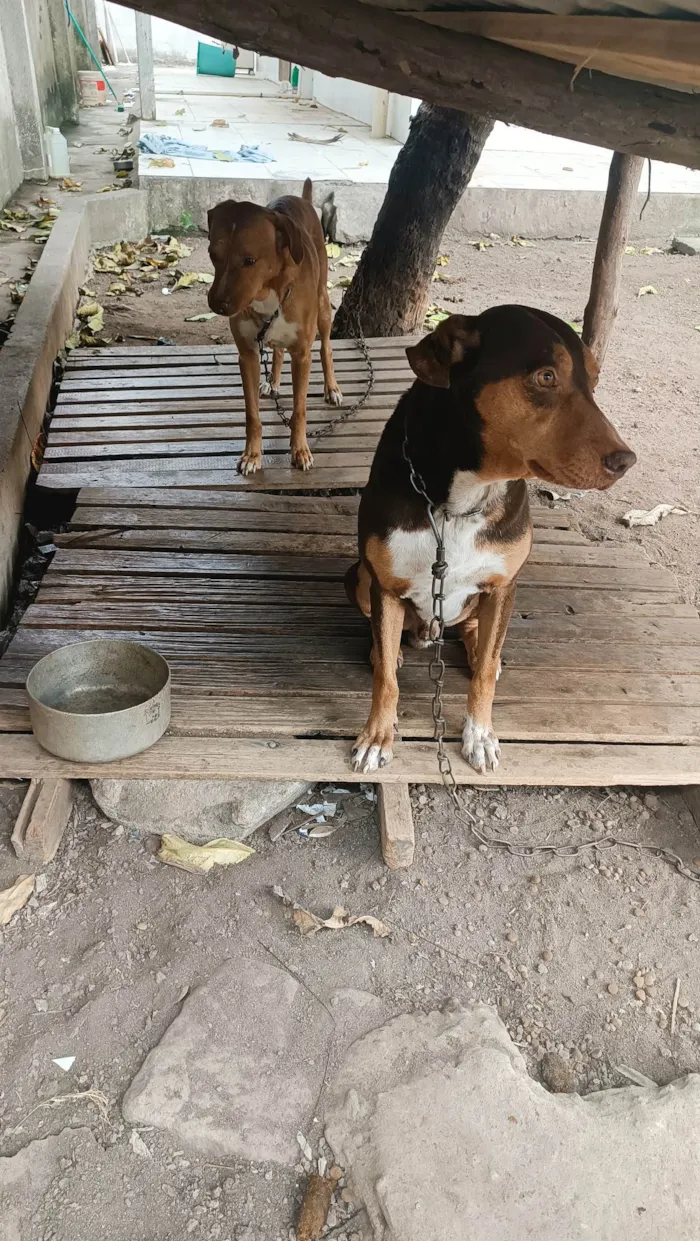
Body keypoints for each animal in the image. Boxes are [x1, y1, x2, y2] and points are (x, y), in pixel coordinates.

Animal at [204, 179, 342, 474]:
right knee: (277, 350)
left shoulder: (302, 354)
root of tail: (301, 198)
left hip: (323, 306)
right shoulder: (247, 355)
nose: (217, 304)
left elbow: (299, 410)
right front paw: (252, 455)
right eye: (213, 255)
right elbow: (252, 414)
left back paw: (332, 388)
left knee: (326, 347)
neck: (268, 293)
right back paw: (272, 381)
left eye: (249, 260)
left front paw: (300, 450)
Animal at [347, 304, 635, 774]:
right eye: (546, 377)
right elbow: (386, 679)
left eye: (594, 378)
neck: (462, 499)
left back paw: (482, 650)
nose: (626, 460)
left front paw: (479, 735)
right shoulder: (385, 586)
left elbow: (481, 675)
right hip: (358, 577)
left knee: (477, 635)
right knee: (386, 640)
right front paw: (376, 737)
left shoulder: (503, 586)